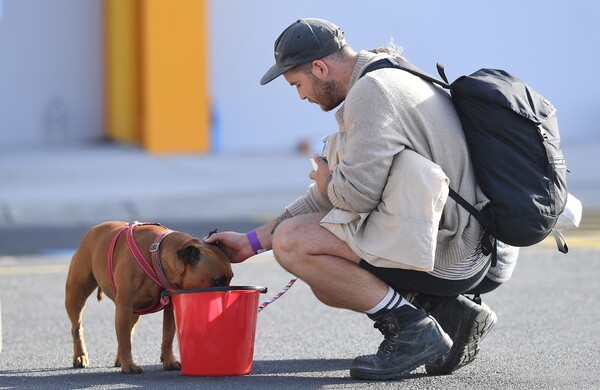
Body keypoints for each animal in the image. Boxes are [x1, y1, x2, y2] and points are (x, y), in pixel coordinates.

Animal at [64, 221, 233, 374]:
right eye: (218, 280)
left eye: (231, 277)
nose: (229, 292)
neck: (157, 258)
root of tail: (93, 230)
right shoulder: (124, 306)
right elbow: (125, 342)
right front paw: (129, 366)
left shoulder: (169, 309)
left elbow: (167, 337)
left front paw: (169, 361)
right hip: (76, 296)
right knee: (77, 328)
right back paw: (80, 356)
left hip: (133, 312)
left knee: (128, 331)